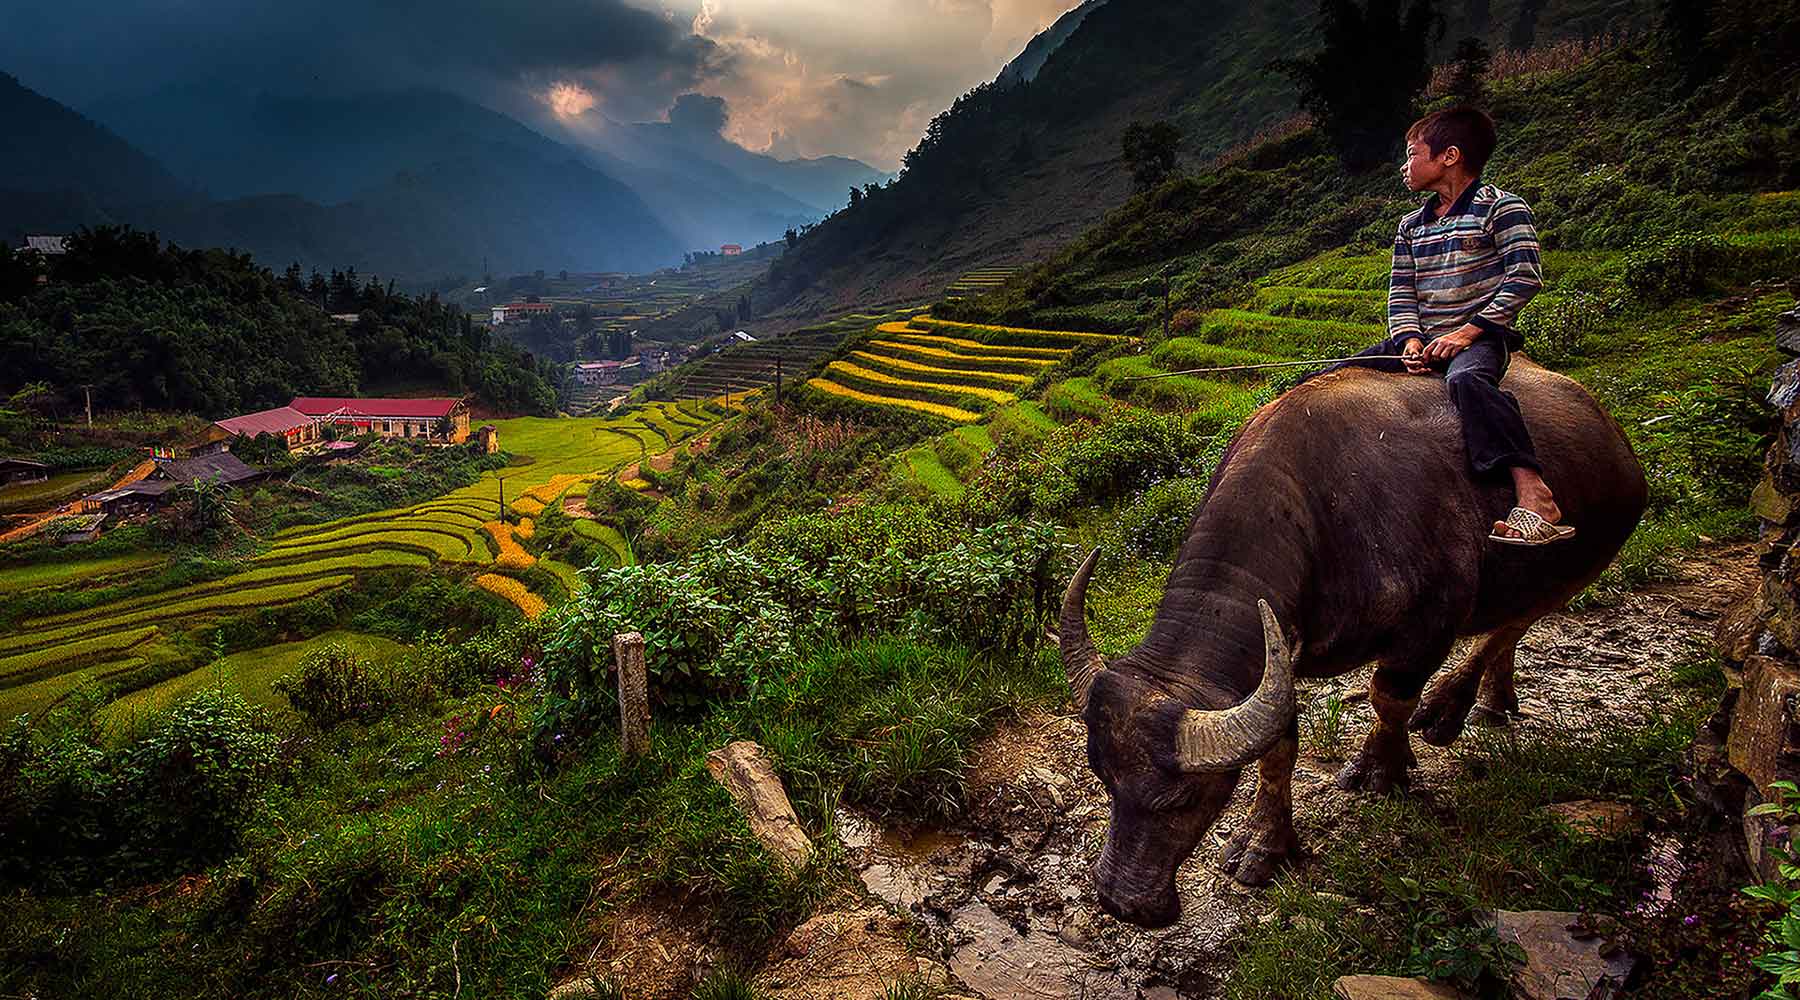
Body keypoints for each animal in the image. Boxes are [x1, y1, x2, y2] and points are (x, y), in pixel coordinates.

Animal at [1065, 357, 1648, 920]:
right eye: (1104, 779)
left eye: (1185, 797)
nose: (1122, 901)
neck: (1321, 512)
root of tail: (1614, 435)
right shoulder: (1276, 661)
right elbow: (1278, 750)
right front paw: (1263, 845)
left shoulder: (1428, 628)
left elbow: (1388, 700)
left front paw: (1383, 771)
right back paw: (1489, 701)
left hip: (1583, 563)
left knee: (1511, 625)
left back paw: (1450, 707)